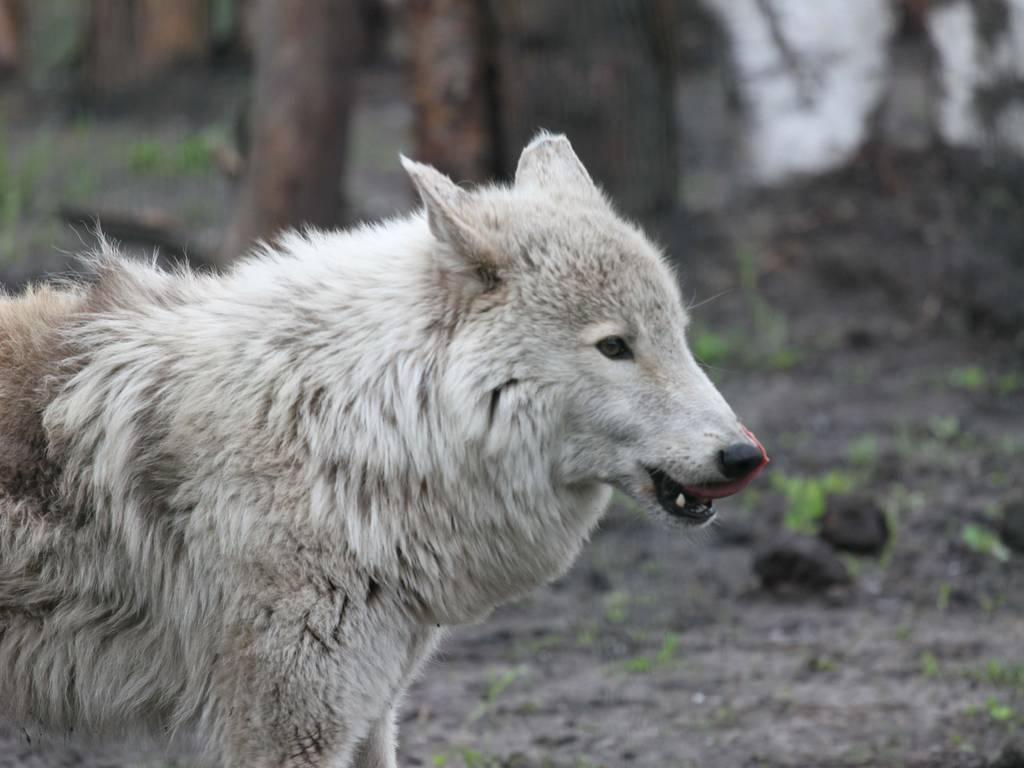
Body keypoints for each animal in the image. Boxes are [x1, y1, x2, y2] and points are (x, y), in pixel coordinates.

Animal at [0, 135, 770, 765]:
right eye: (615, 347)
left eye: (678, 335)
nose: (744, 456)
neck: (354, 429)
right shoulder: (287, 727)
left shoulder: (370, 710)